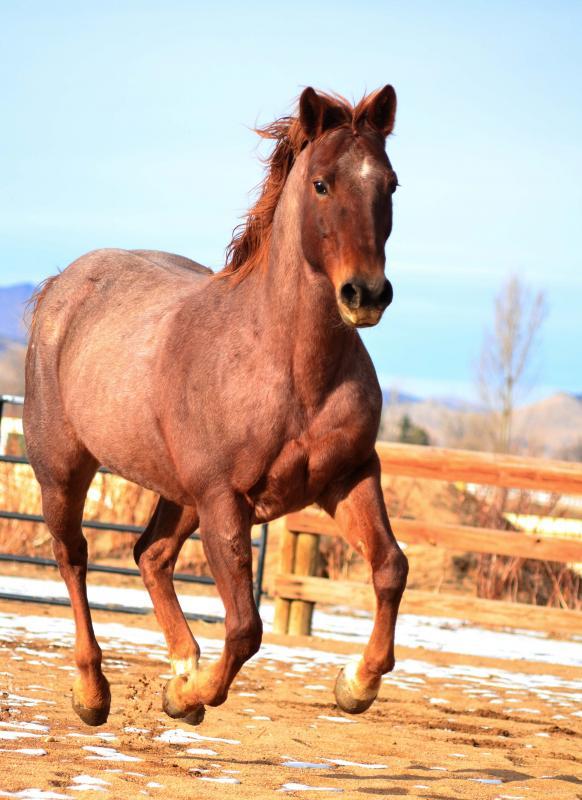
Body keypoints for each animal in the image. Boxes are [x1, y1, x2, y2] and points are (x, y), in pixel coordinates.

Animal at [24, 85, 409, 728]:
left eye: (391, 183)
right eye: (322, 183)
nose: (366, 295)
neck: (288, 369)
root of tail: (61, 285)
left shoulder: (351, 475)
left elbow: (389, 568)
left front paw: (355, 684)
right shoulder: (225, 500)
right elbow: (246, 627)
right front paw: (190, 697)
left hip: (178, 491)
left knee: (150, 555)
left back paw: (180, 666)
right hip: (63, 469)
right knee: (72, 556)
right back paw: (93, 691)